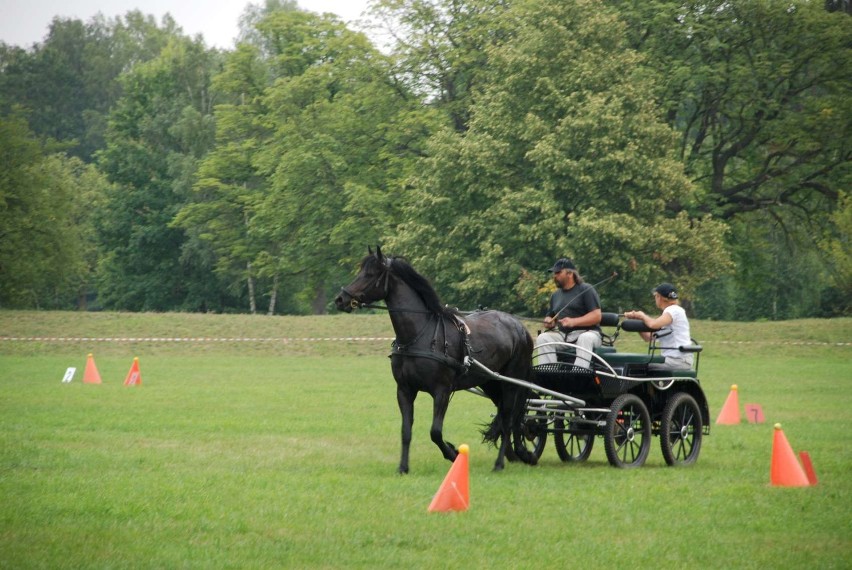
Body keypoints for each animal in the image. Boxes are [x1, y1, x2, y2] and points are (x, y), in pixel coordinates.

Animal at [332, 245, 532, 470]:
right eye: (360, 271)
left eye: (370, 274)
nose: (340, 299)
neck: (420, 334)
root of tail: (520, 327)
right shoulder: (404, 390)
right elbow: (406, 431)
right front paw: (403, 467)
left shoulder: (441, 391)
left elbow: (435, 432)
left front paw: (453, 453)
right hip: (490, 382)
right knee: (504, 416)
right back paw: (511, 455)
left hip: (511, 382)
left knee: (508, 419)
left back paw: (500, 463)